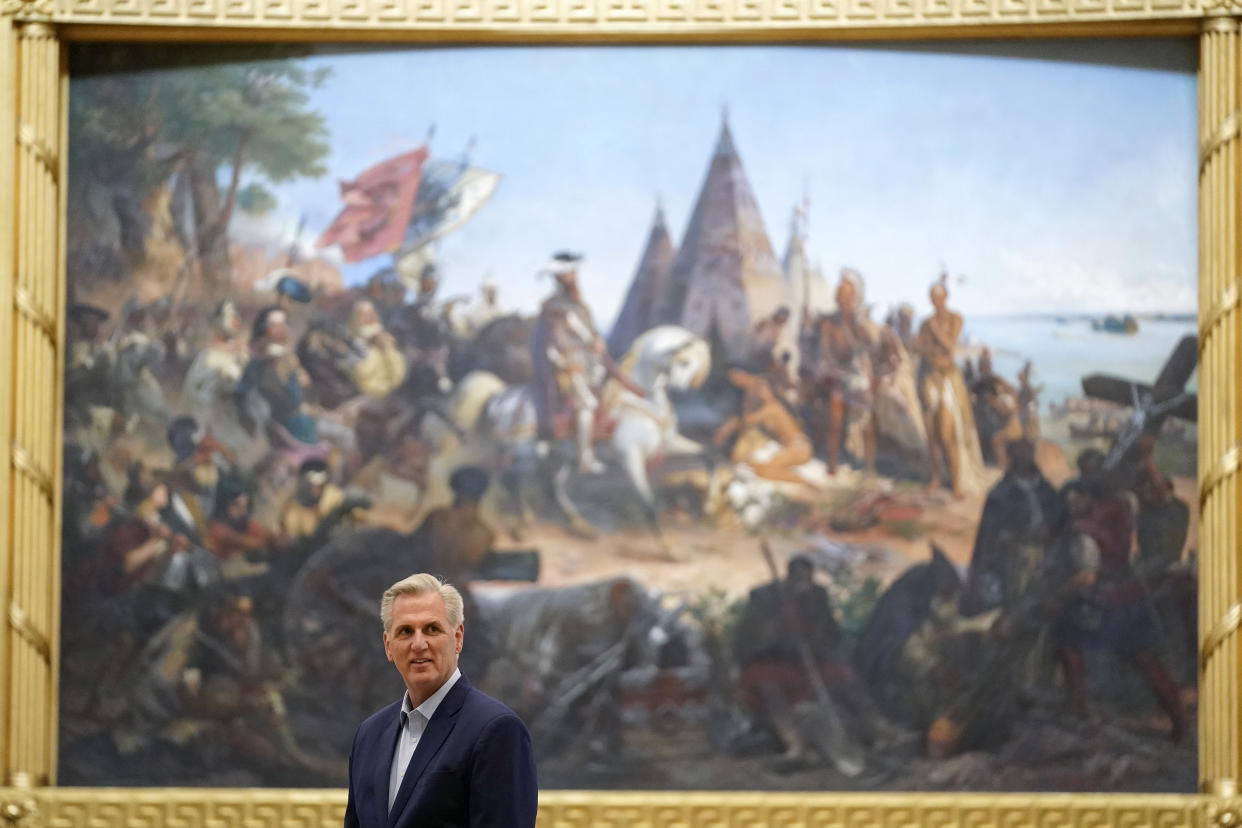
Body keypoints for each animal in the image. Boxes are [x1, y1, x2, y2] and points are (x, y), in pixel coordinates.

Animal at [447, 327, 710, 553]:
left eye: (692, 364)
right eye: (683, 362)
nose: (679, 392)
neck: (640, 398)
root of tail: (501, 395)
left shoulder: (671, 444)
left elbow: (706, 454)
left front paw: (709, 495)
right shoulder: (630, 457)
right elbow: (648, 502)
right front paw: (669, 548)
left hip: (560, 457)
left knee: (550, 488)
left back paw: (581, 526)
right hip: (528, 455)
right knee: (510, 479)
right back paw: (524, 524)